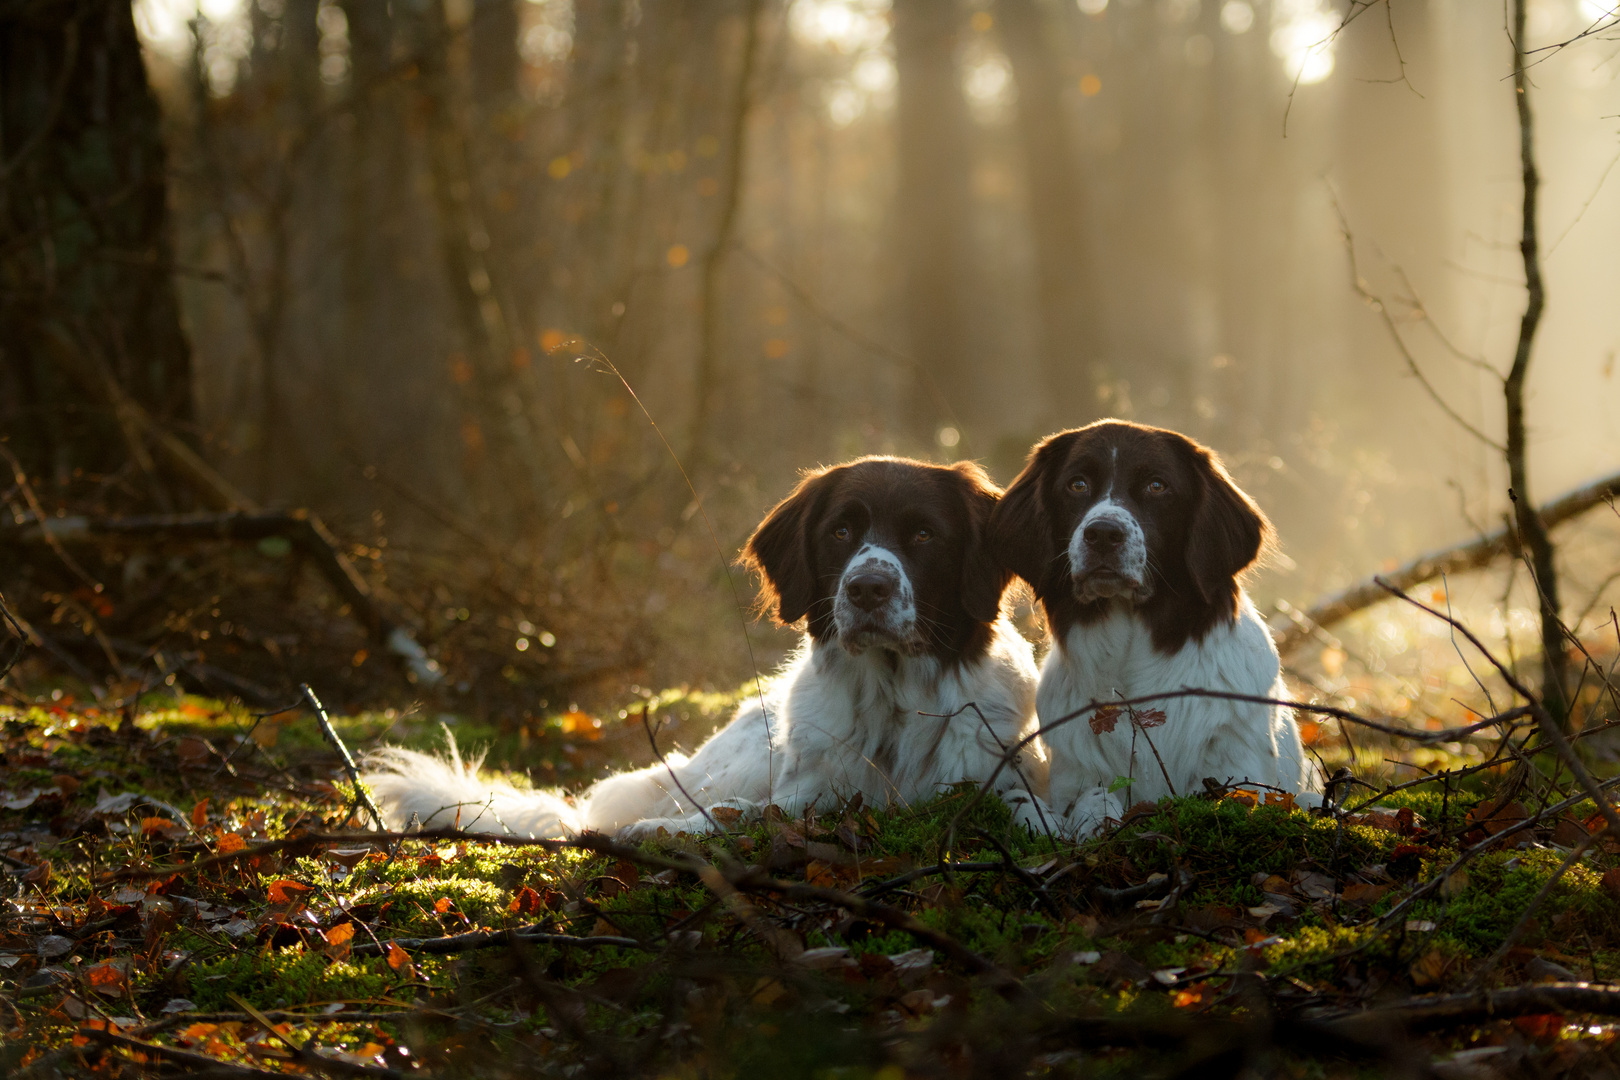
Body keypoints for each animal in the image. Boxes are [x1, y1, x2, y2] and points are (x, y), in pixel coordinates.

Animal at [364, 456, 1049, 841]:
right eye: (841, 531)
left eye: (925, 535)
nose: (867, 589)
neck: (893, 699)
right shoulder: (807, 788)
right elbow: (742, 812)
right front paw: (669, 830)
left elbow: (1028, 808)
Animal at [991, 420, 1321, 835]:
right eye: (1077, 484)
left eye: (1157, 486)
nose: (1103, 534)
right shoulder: (1076, 773)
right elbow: (1081, 801)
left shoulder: (1238, 769)